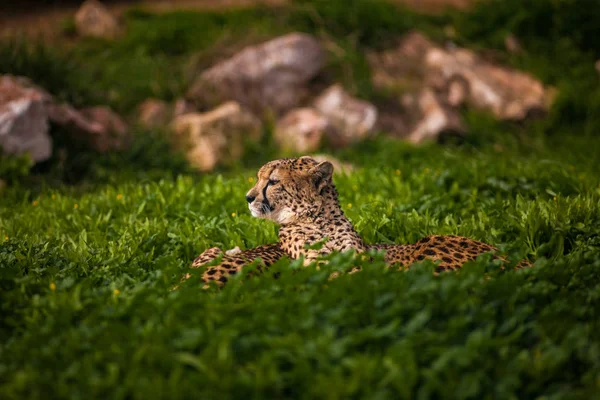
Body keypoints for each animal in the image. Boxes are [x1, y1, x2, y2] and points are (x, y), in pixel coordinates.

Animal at [186, 155, 528, 286]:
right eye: (259, 179)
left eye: (271, 181)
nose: (247, 197)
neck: (318, 219)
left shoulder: (359, 260)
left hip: (430, 246)